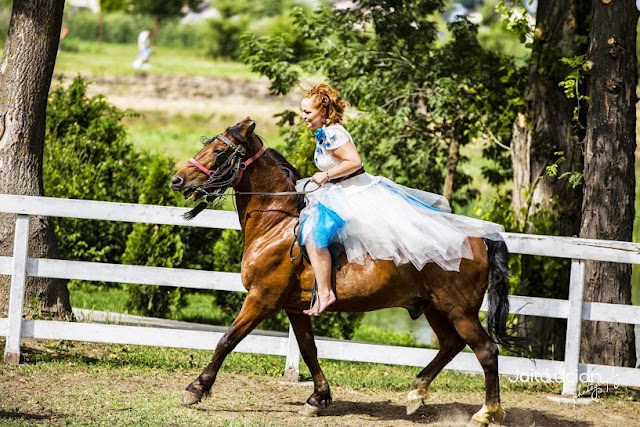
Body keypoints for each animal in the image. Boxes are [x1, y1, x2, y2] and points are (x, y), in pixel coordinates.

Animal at [170, 118, 516, 427]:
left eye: (218, 151)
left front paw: (196, 389)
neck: (277, 224)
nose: (177, 180)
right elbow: (308, 349)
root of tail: (480, 236)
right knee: (450, 345)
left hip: (458, 310)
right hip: (435, 308)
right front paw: (318, 398)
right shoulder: (294, 306)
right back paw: (415, 394)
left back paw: (486, 413)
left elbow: (226, 340)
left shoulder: (261, 299)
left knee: (486, 351)